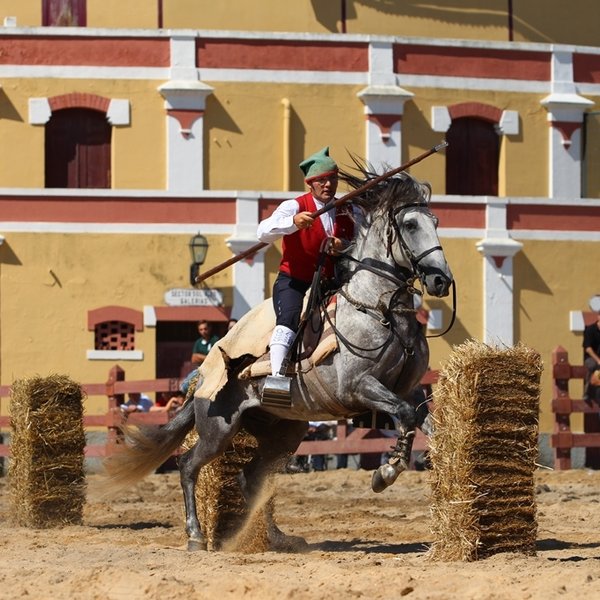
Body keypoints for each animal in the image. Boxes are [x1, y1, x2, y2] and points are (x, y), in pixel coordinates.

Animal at [104, 169, 450, 548]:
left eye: (436, 222)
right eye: (410, 224)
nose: (441, 280)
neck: (378, 308)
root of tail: (198, 382)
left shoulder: (408, 390)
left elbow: (425, 422)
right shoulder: (358, 386)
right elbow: (404, 415)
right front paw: (386, 471)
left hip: (282, 432)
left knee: (250, 477)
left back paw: (271, 538)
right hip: (218, 429)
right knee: (188, 466)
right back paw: (196, 534)